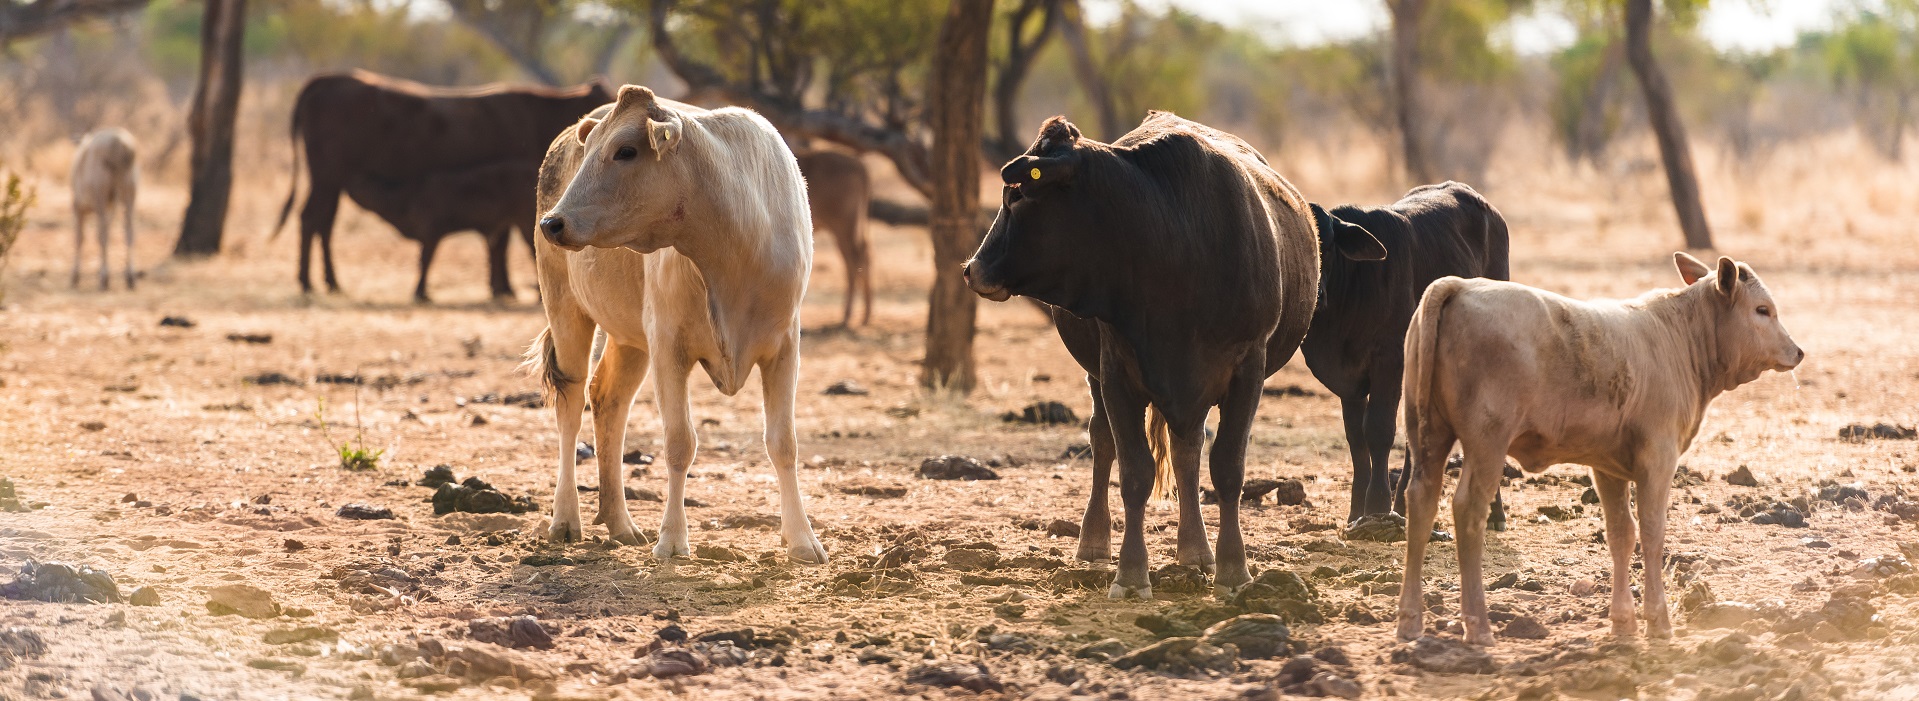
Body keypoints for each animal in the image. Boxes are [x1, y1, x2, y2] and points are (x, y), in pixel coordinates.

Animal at [274, 71, 606, 299]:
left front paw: (501, 287)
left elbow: (497, 241)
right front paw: (503, 287)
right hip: (327, 180)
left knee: (321, 223)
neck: (532, 113)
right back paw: (312, 281)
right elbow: (499, 242)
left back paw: (325, 281)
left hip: (330, 183)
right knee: (313, 220)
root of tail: (328, 80)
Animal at [967, 113, 1389, 595]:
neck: (1171, 244)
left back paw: (1196, 551)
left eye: (1016, 195)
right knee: (1104, 441)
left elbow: (1227, 468)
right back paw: (1094, 543)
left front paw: (1232, 567)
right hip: (1098, 377)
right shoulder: (1116, 372)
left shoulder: (1247, 370)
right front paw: (1131, 573)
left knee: (1188, 449)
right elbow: (1134, 471)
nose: (972, 268)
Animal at [1304, 180, 1512, 522]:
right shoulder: (1348, 378)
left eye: (1330, 246)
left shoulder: (1388, 361)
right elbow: (1355, 438)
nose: (1316, 291)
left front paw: (1376, 506)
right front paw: (1356, 511)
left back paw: (1494, 510)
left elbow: (1378, 430)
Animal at [1397, 253, 1796, 645]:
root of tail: (1460, 285)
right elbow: (1652, 531)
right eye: (1762, 310)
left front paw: (1623, 621)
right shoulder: (1659, 455)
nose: (1798, 351)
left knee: (1421, 501)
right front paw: (1658, 620)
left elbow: (1621, 534)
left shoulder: (1607, 465)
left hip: (1427, 432)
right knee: (1468, 511)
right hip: (1487, 440)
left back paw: (1410, 619)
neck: (1679, 339)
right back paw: (1478, 625)